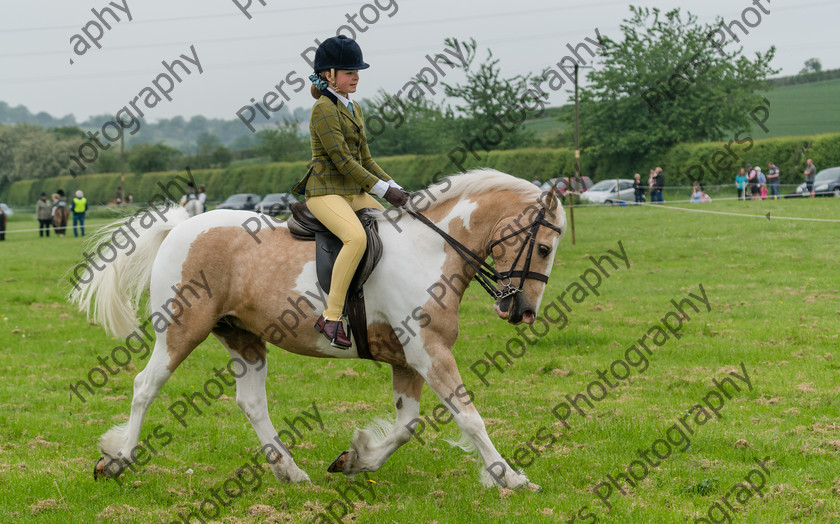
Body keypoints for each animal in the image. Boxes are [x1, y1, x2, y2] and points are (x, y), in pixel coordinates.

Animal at [72, 171, 568, 492]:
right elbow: (469, 417)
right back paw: (117, 460)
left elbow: (406, 425)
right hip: (181, 330)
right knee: (145, 385)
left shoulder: (408, 359)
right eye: (544, 248)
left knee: (252, 403)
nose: (523, 311)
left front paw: (356, 459)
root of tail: (180, 228)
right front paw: (512, 477)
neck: (430, 250)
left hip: (243, 337)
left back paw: (290, 472)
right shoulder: (429, 353)